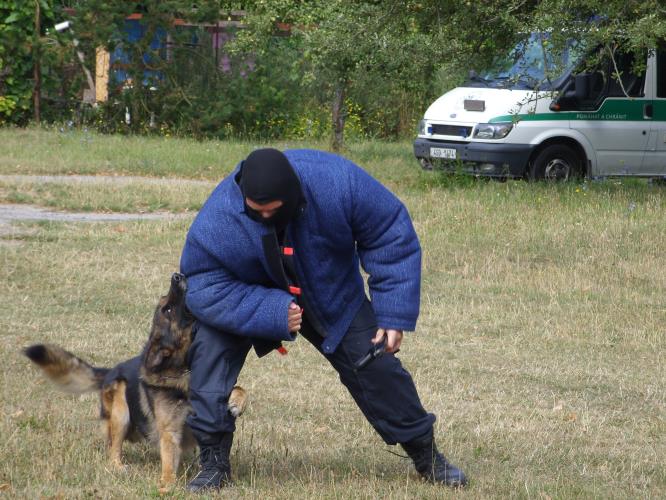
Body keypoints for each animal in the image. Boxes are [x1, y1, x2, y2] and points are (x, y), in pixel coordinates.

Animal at [24, 272, 246, 490]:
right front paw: (167, 484)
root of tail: (110, 371)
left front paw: (236, 402)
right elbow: (168, 462)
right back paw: (118, 466)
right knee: (113, 448)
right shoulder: (170, 432)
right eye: (167, 309)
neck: (182, 369)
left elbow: (237, 388)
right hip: (120, 407)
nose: (177, 275)